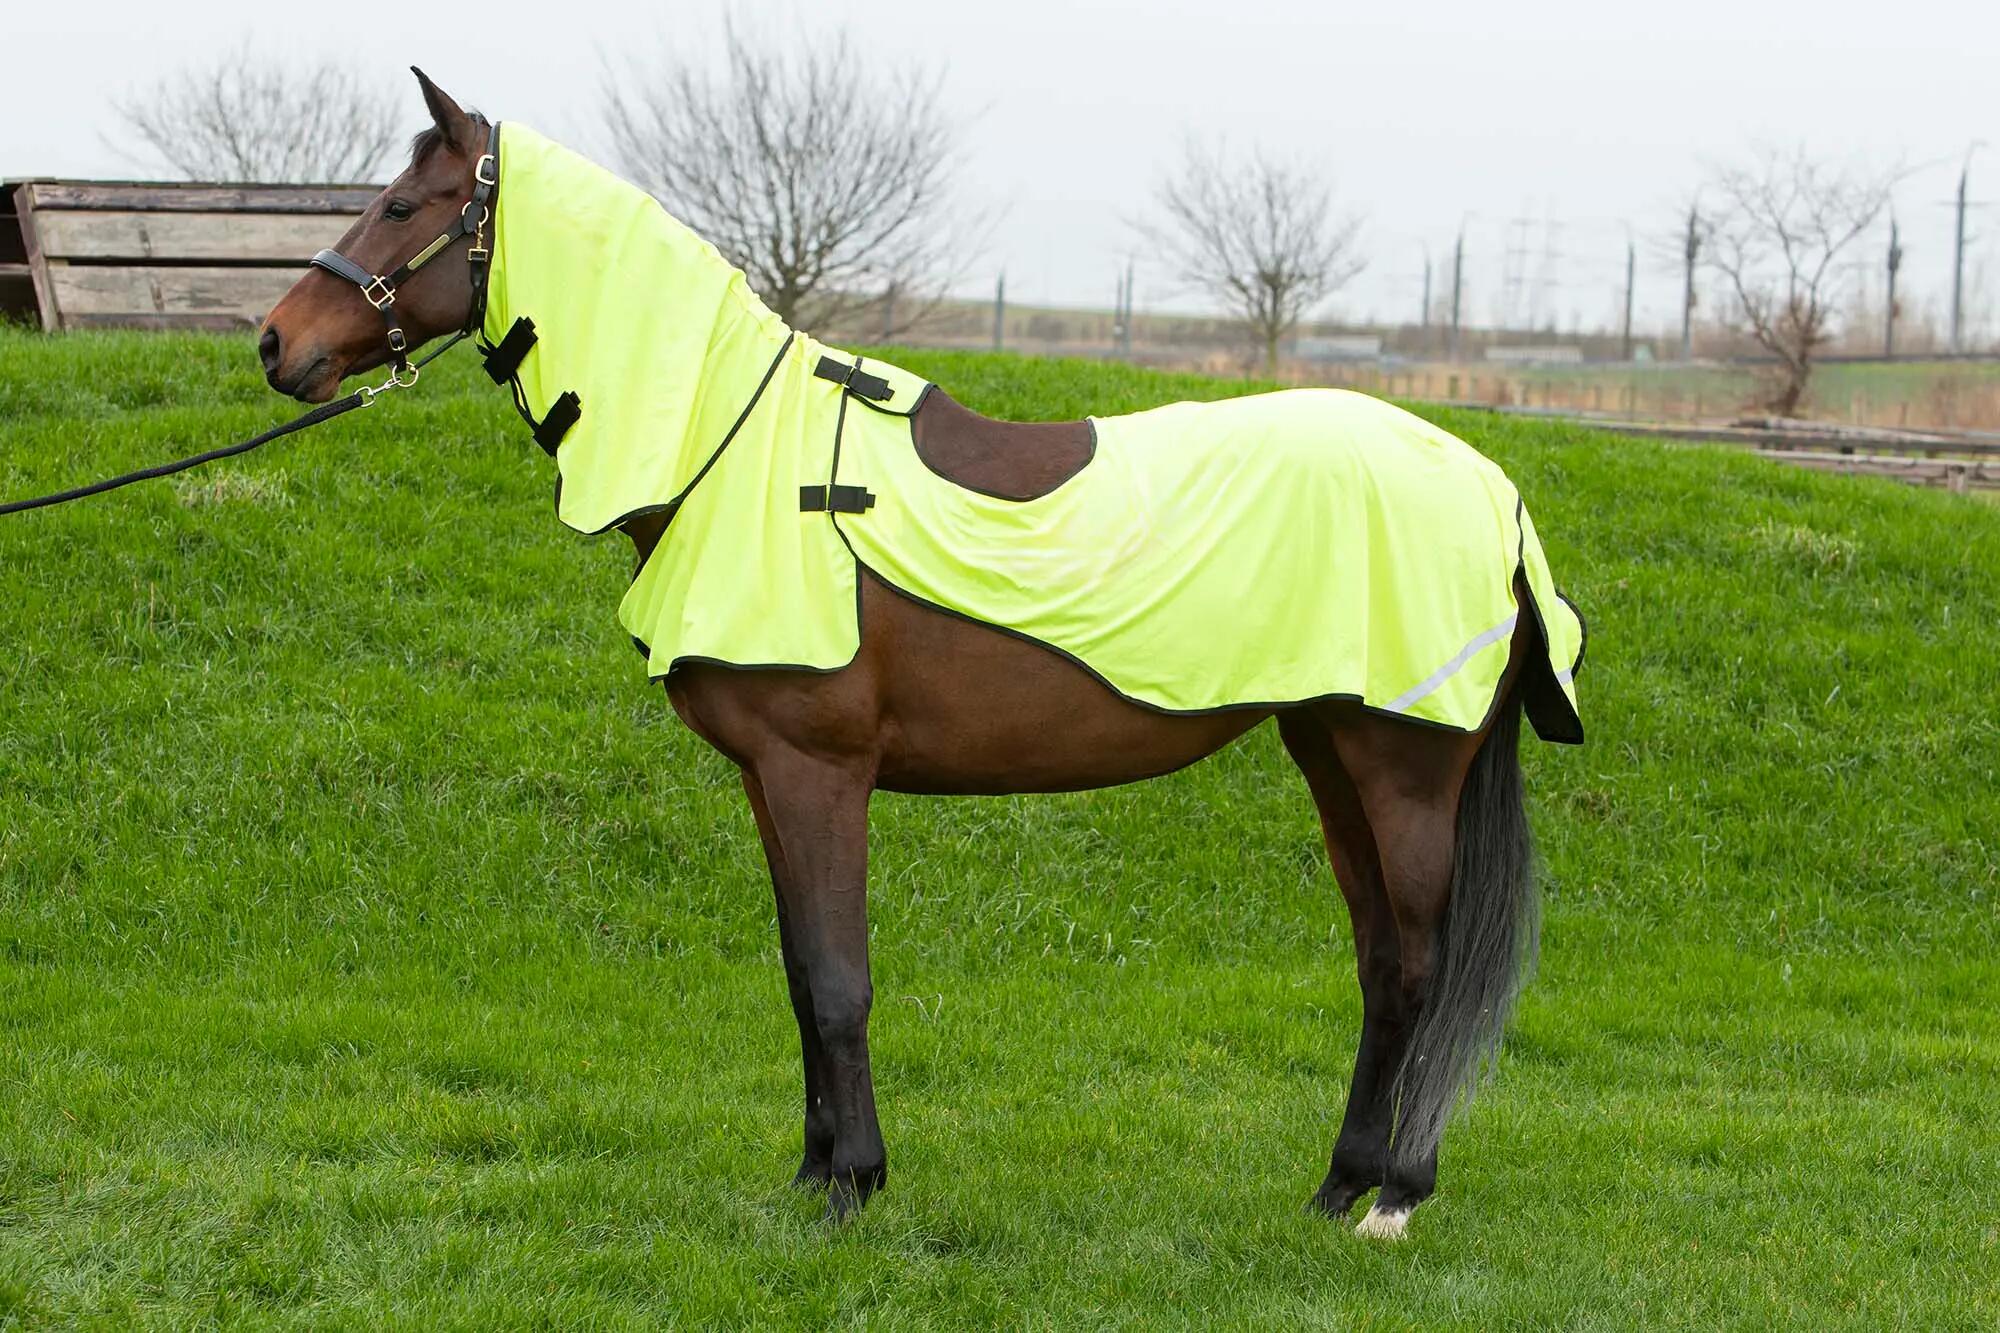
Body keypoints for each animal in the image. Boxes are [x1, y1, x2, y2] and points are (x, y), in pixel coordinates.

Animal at [257, 69, 1582, 1239]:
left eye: (402, 205)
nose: (276, 343)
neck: (730, 448)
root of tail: (1491, 490)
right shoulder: (766, 779)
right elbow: (800, 974)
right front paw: (810, 1176)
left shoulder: (818, 769)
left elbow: (839, 976)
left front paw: (853, 1186)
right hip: (1327, 753)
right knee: (1380, 964)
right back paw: (1334, 1187)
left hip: (1398, 767)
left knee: (1417, 968)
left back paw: (1391, 1197)